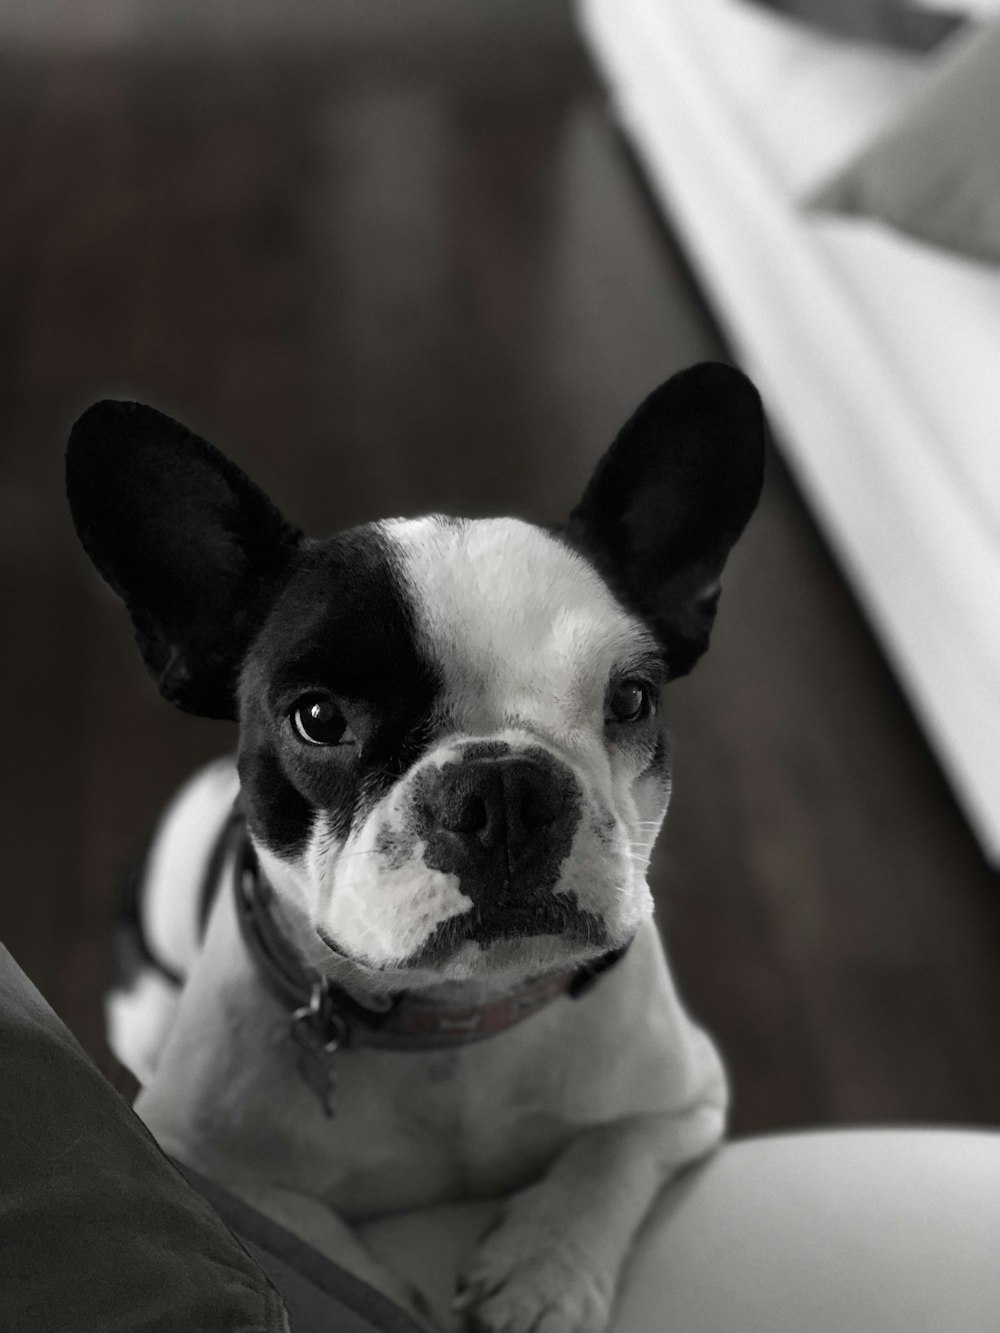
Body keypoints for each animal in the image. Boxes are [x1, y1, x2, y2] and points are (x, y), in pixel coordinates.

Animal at [66, 362, 762, 1333]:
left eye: (632, 698)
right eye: (319, 718)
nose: (503, 791)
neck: (452, 1015)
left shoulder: (685, 1094)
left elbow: (608, 1156)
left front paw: (542, 1269)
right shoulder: (188, 1153)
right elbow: (301, 1233)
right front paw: (385, 1294)